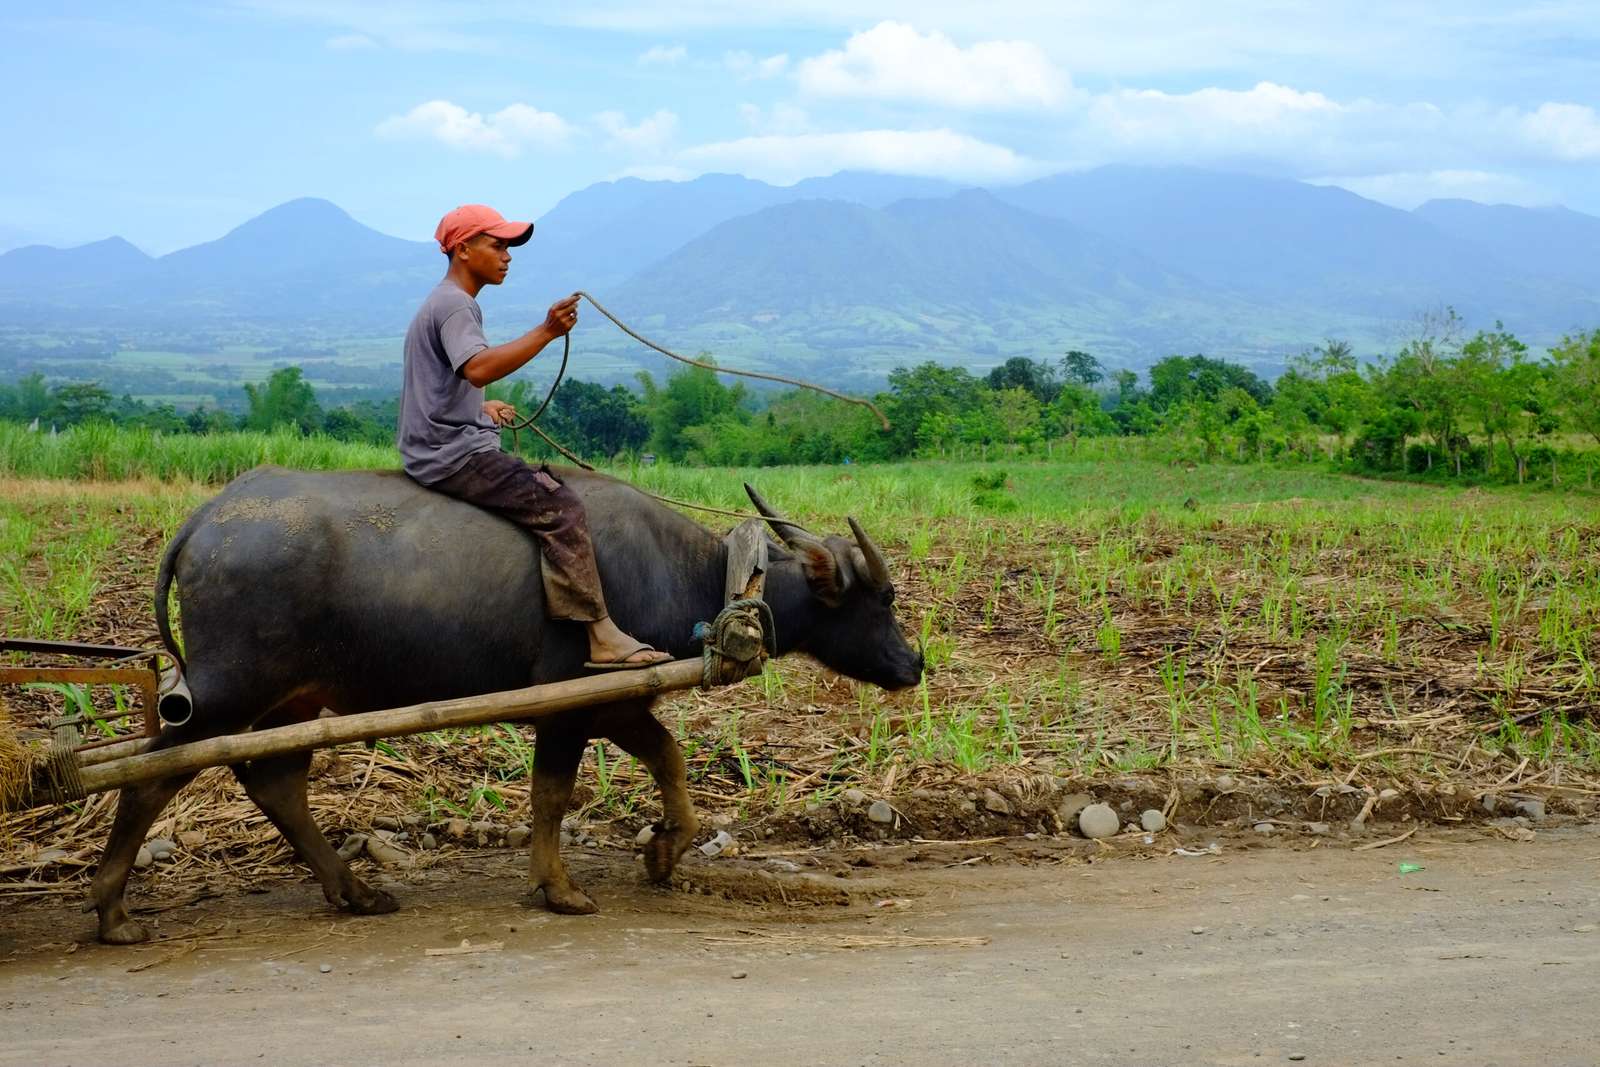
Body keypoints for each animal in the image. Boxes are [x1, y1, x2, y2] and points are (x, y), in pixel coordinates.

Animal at [93, 467, 921, 940]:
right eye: (881, 599)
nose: (914, 663)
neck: (692, 573)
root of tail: (206, 521)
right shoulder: (569, 706)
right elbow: (554, 793)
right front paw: (559, 888)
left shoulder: (615, 702)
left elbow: (668, 757)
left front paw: (662, 850)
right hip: (227, 692)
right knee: (151, 777)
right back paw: (113, 911)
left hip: (294, 700)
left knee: (274, 780)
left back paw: (355, 890)